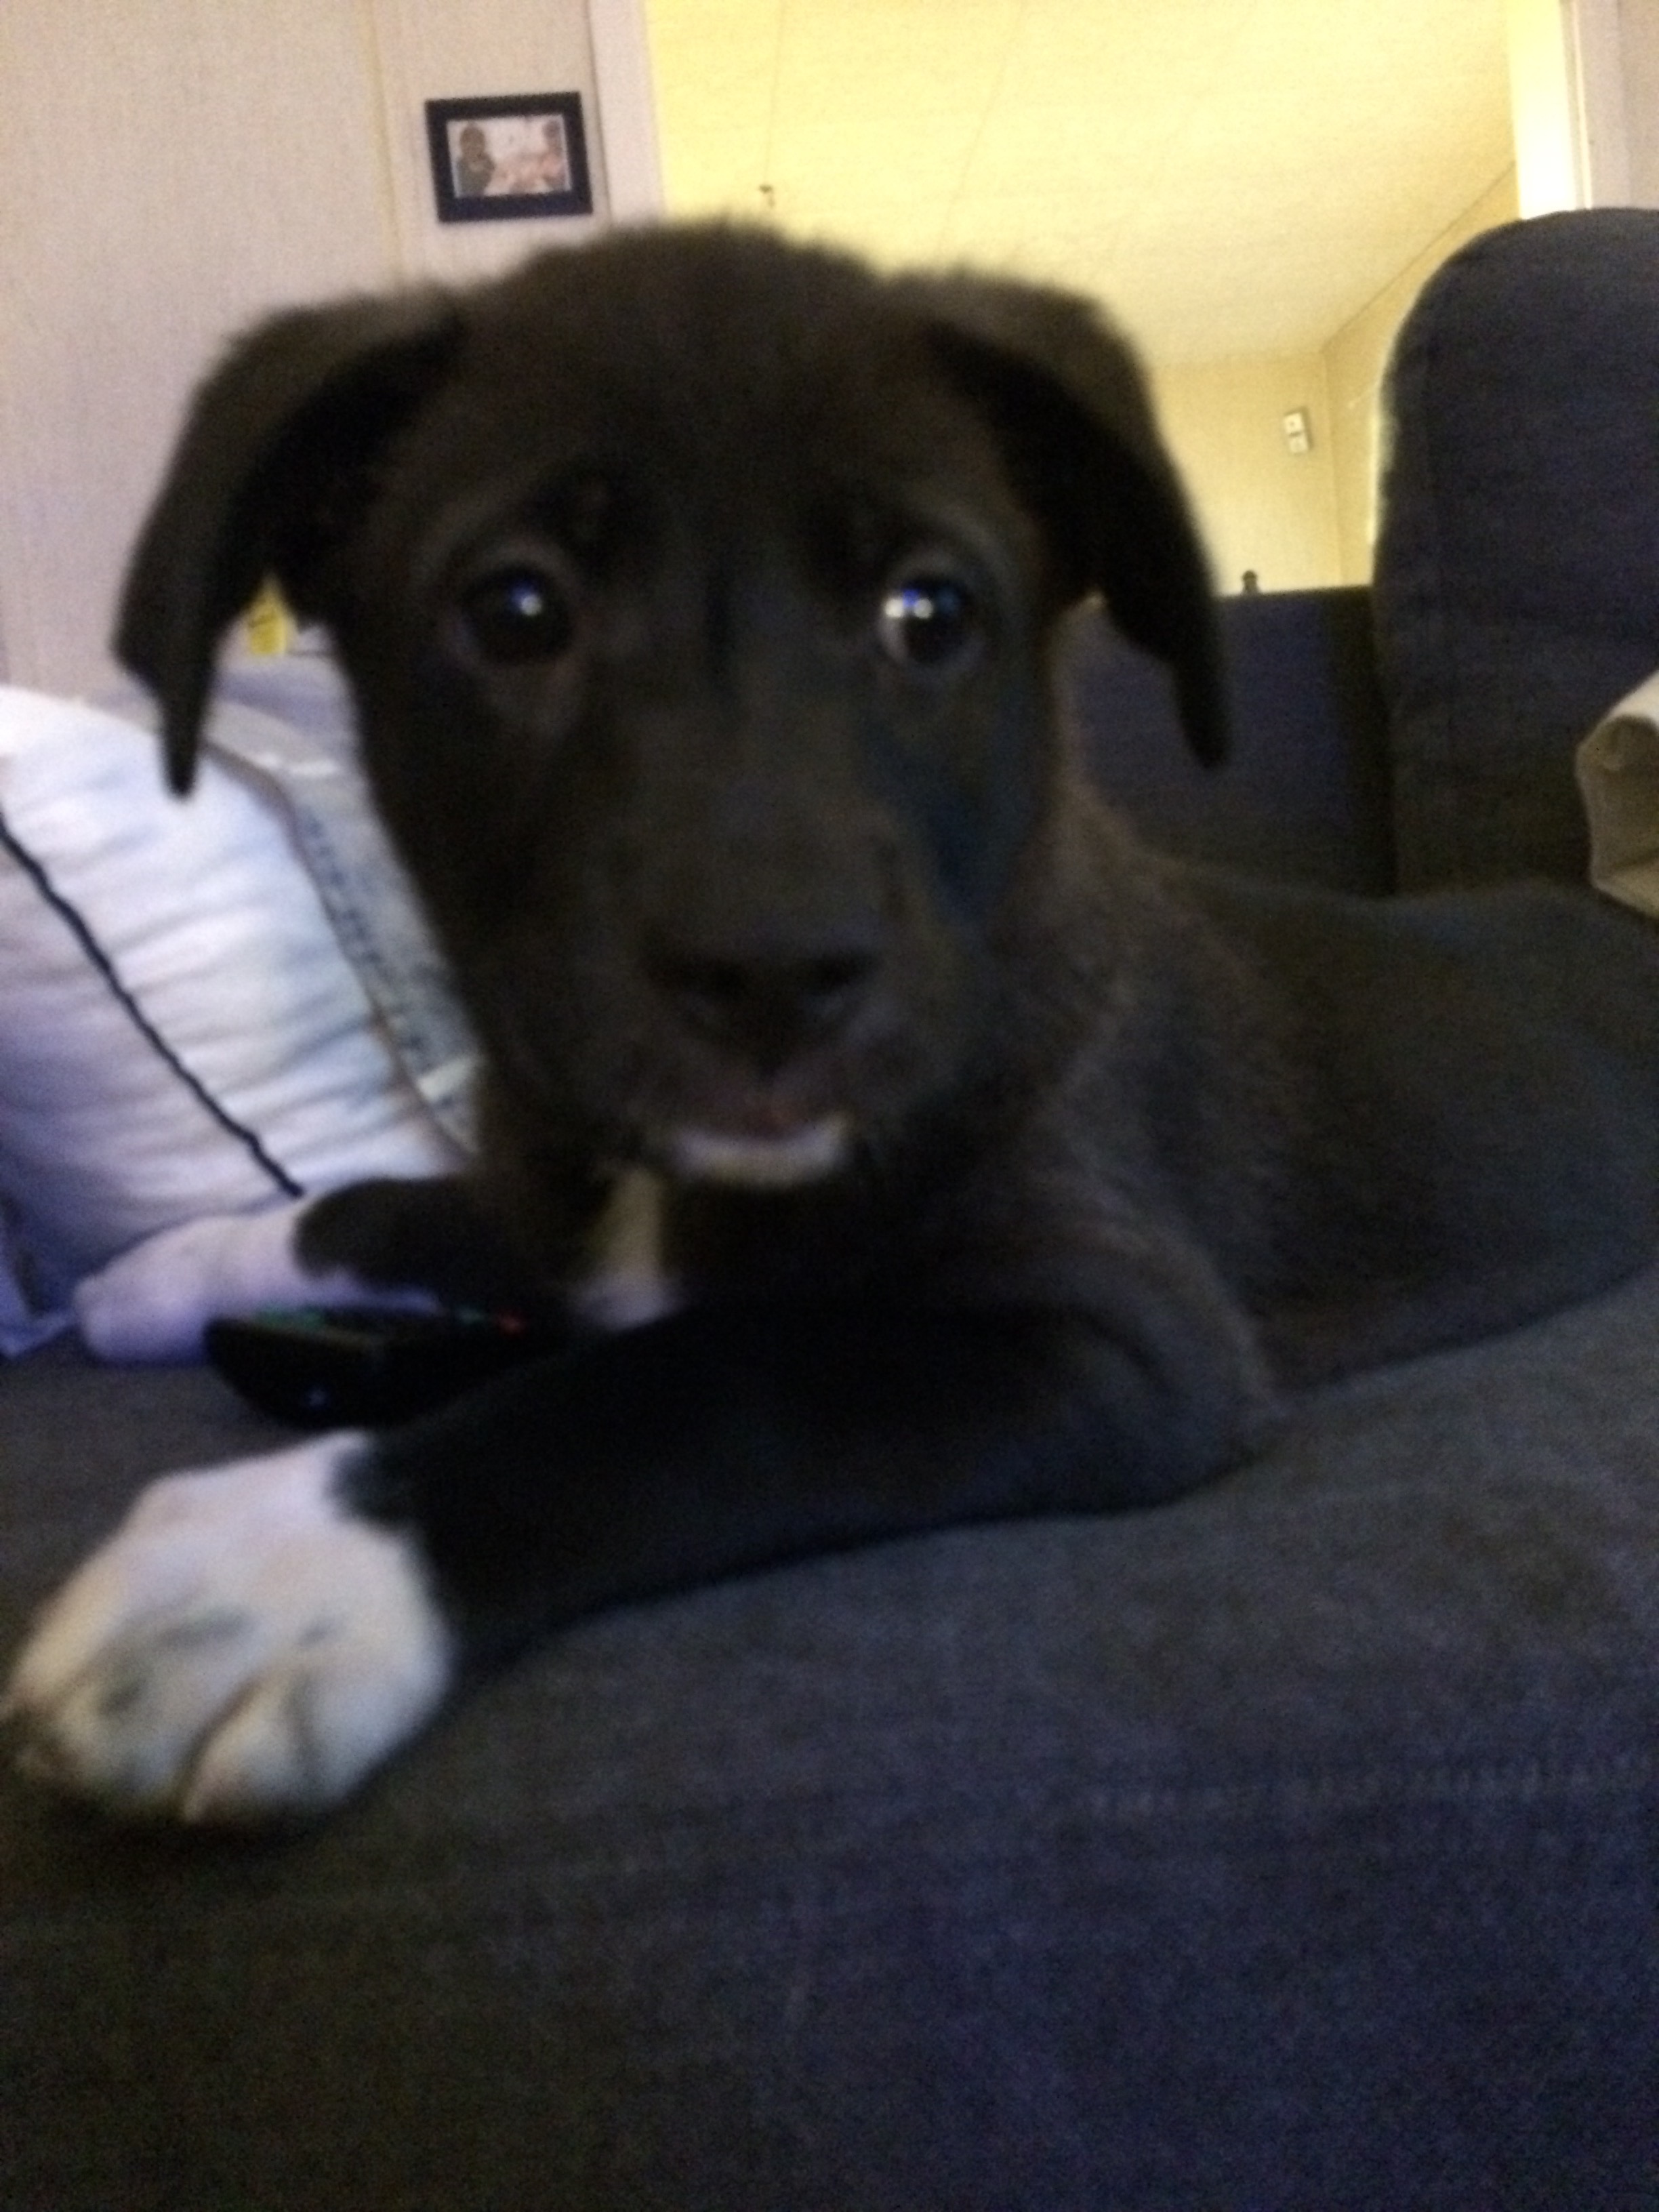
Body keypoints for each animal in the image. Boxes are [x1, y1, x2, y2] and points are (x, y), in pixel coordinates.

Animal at [9, 223, 1659, 1825]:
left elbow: (709, 1379)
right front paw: (166, 1271)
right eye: (516, 610)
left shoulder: (1118, 1338)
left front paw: (288, 1571)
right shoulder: (559, 1185)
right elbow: (386, 1209)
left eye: (929, 612)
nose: (773, 973)